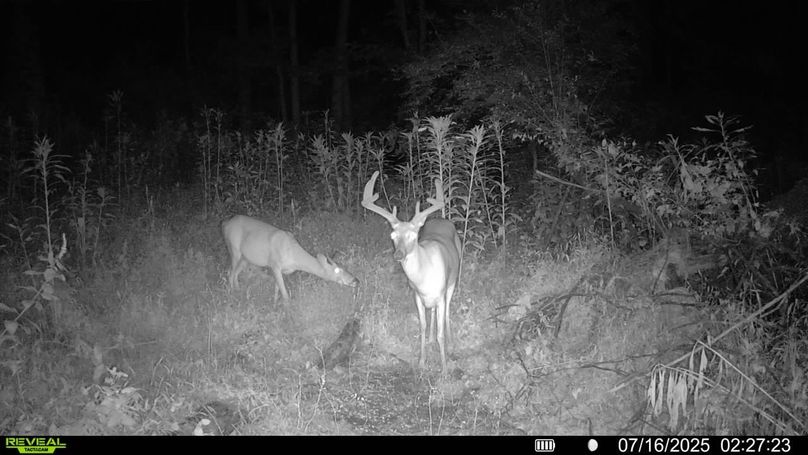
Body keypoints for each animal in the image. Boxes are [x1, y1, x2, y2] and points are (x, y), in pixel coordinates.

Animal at [222, 215, 359, 304]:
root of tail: (226, 224)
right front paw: (287, 310)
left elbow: (277, 289)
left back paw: (238, 291)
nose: (355, 280)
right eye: (337, 270)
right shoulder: (274, 264)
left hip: (245, 258)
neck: (293, 257)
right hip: (234, 248)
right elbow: (285, 293)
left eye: (345, 267)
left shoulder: (282, 270)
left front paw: (275, 304)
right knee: (230, 272)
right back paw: (232, 294)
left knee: (234, 272)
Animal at [361, 171, 461, 375]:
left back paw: (450, 340)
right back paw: (431, 340)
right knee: (433, 314)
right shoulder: (416, 295)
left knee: (447, 311)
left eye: (413, 236)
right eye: (393, 236)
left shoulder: (440, 294)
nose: (398, 255)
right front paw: (421, 362)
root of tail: (442, 219)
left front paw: (444, 369)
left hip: (453, 280)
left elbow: (440, 331)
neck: (424, 278)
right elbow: (422, 326)